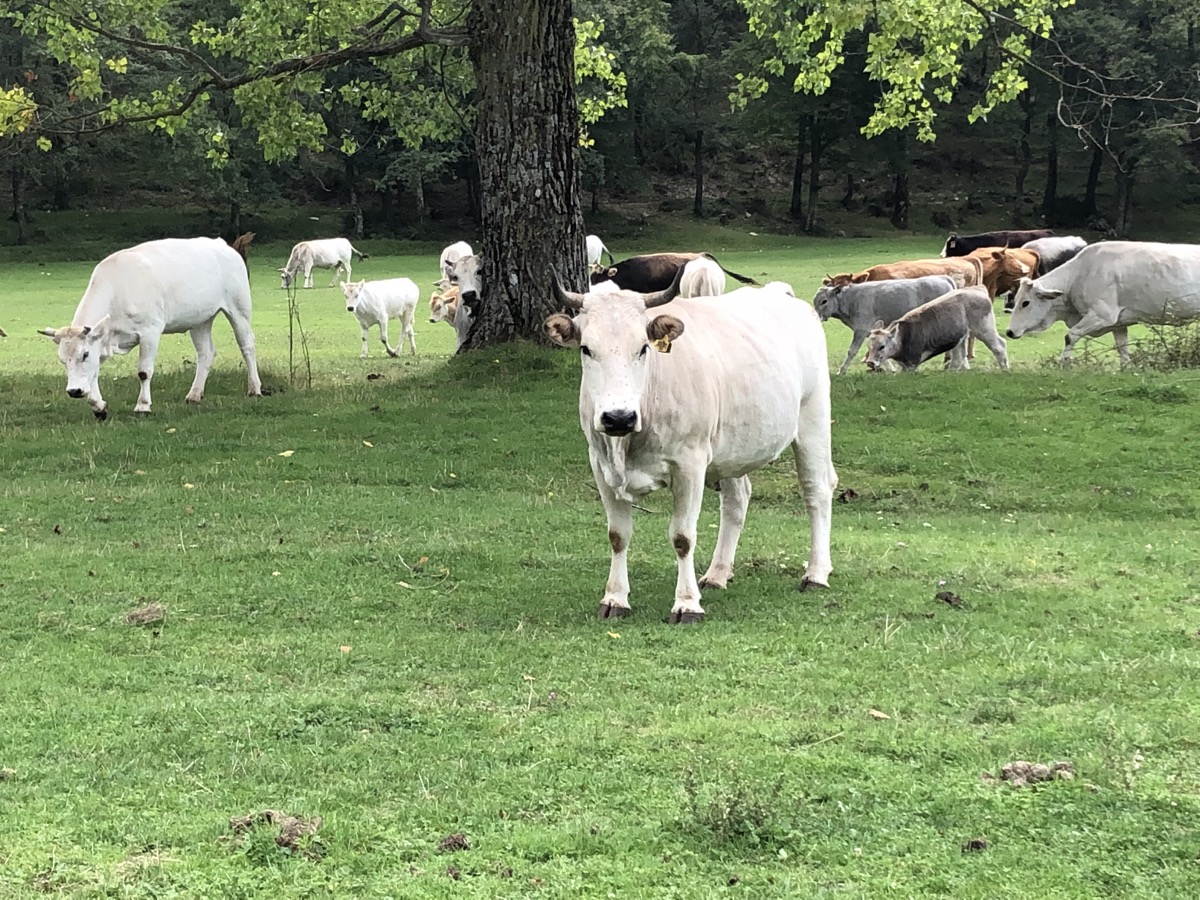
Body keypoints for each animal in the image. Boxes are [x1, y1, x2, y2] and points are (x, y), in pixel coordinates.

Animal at [39, 237, 262, 419]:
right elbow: (93, 374)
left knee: (247, 345)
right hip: (199, 319)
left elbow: (144, 372)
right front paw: (99, 407)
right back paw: (194, 394)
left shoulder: (150, 332)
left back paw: (254, 388)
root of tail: (222, 245)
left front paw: (143, 406)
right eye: (62, 360)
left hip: (239, 308)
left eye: (83, 354)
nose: (74, 391)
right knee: (206, 352)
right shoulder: (102, 341)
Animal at [544, 271, 836, 624]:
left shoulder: (690, 466)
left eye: (643, 348)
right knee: (737, 500)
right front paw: (615, 598)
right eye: (586, 349)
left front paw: (686, 603)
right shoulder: (600, 465)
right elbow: (618, 536)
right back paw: (717, 573)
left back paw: (816, 573)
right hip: (733, 448)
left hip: (813, 420)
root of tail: (779, 293)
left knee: (817, 491)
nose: (618, 417)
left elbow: (683, 537)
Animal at [812, 275, 957, 374]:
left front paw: (841, 371)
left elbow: (852, 351)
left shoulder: (861, 329)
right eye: (815, 301)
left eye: (824, 301)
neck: (850, 300)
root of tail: (943, 277)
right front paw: (889, 369)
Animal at [864, 286, 1009, 372]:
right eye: (869, 346)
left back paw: (1005, 369)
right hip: (961, 338)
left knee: (999, 346)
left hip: (984, 328)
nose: (870, 362)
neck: (905, 335)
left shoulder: (911, 364)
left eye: (882, 346)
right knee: (959, 358)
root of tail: (977, 289)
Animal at [1006, 241, 1200, 366]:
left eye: (1025, 303)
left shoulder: (1102, 315)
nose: (1009, 332)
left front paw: (1064, 362)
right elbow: (1122, 348)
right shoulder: (1119, 323)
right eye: (1015, 301)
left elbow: (1070, 336)